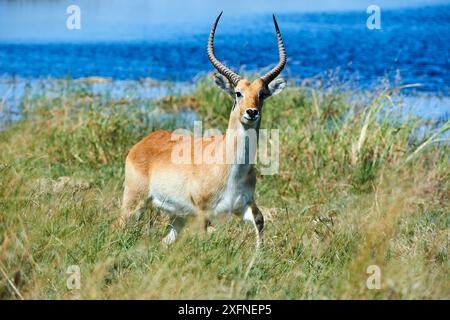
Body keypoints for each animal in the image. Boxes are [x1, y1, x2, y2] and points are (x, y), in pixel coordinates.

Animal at [114, 12, 286, 246]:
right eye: (238, 93)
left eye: (262, 94)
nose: (251, 112)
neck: (229, 168)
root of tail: (142, 143)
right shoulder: (203, 213)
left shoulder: (243, 205)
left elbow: (260, 220)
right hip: (134, 201)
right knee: (118, 224)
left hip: (177, 216)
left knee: (165, 241)